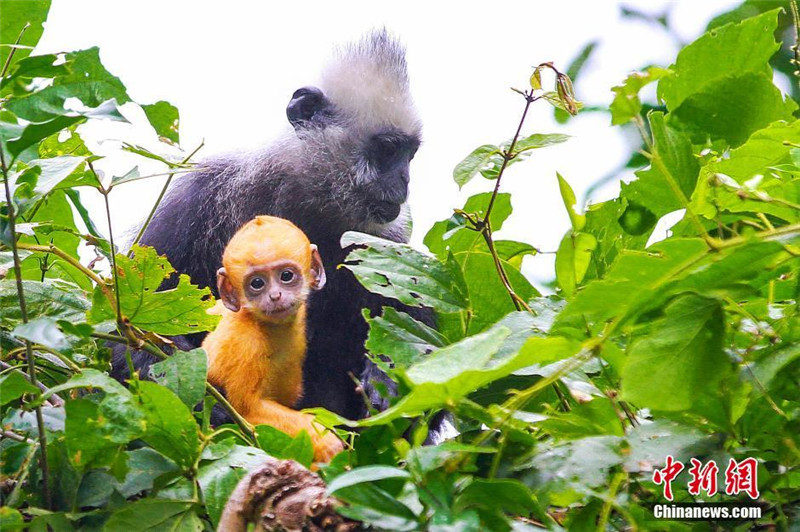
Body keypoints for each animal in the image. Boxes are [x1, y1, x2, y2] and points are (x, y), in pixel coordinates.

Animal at [112, 31, 432, 424]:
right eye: (389, 150)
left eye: (410, 155)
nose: (404, 180)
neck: (311, 208)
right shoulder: (195, 201)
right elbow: (129, 325)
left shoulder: (383, 239)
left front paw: (387, 378)